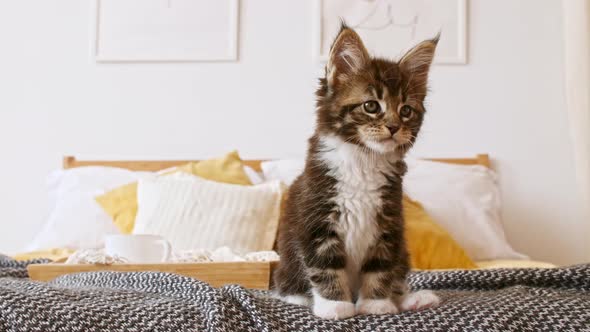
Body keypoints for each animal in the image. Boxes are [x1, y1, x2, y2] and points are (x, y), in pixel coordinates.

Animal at [276, 26, 442, 320]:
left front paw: (376, 303)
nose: (394, 127)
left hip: (403, 253)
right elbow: (326, 265)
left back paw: (413, 299)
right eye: (372, 106)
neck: (364, 161)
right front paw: (334, 305)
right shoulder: (316, 221)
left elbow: (380, 267)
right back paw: (299, 298)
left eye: (406, 111)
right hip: (286, 263)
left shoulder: (388, 223)